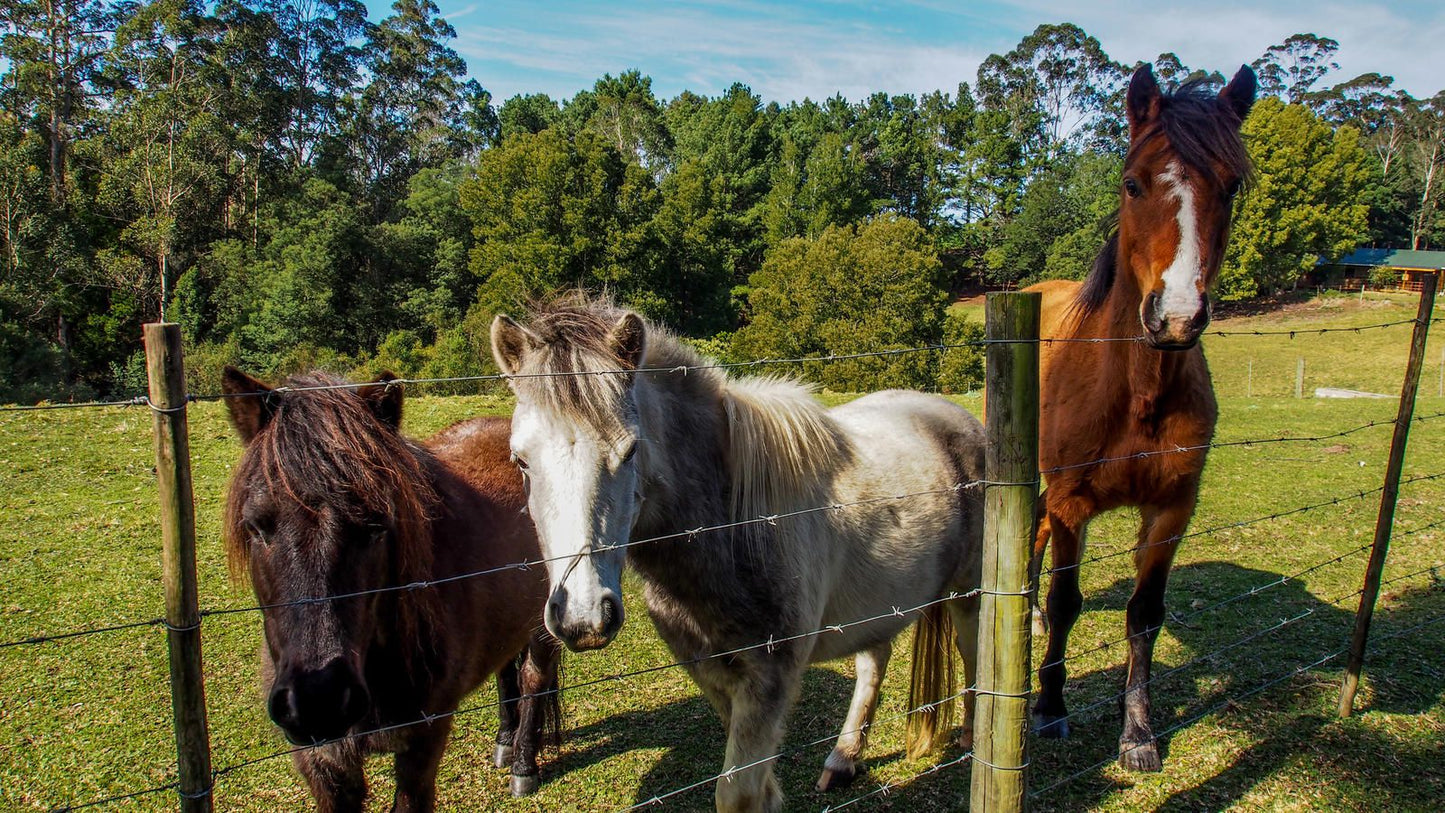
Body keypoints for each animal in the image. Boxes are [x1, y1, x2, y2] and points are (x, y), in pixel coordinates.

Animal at [223, 369, 563, 813]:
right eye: (256, 526)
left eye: (376, 525)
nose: (318, 701)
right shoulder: (324, 765)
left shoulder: (423, 742)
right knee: (507, 670)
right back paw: (505, 742)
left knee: (533, 679)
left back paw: (523, 764)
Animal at [494, 300, 982, 813]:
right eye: (519, 461)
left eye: (630, 451)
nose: (583, 616)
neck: (733, 527)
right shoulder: (713, 675)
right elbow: (758, 787)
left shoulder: (769, 681)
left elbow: (737, 792)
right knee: (875, 658)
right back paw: (844, 760)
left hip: (968, 592)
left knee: (972, 651)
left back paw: (971, 741)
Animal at [1028, 66, 1254, 774]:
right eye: (1133, 183)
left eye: (1230, 186)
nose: (1175, 316)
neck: (1136, 394)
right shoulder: (1073, 503)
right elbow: (1067, 601)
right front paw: (1050, 707)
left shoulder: (1173, 506)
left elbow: (1144, 614)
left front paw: (1138, 732)